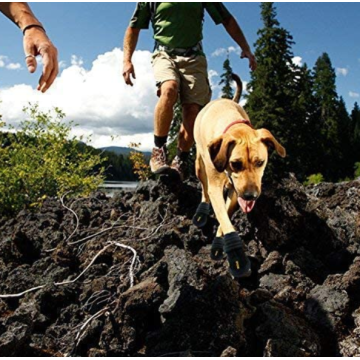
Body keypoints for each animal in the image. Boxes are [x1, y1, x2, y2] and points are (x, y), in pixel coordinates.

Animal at [193, 74, 286, 278]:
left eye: (260, 162)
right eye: (235, 163)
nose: (251, 196)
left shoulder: (236, 193)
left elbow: (225, 217)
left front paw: (219, 245)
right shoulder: (216, 186)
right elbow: (223, 216)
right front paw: (237, 257)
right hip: (199, 164)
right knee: (203, 188)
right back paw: (202, 211)